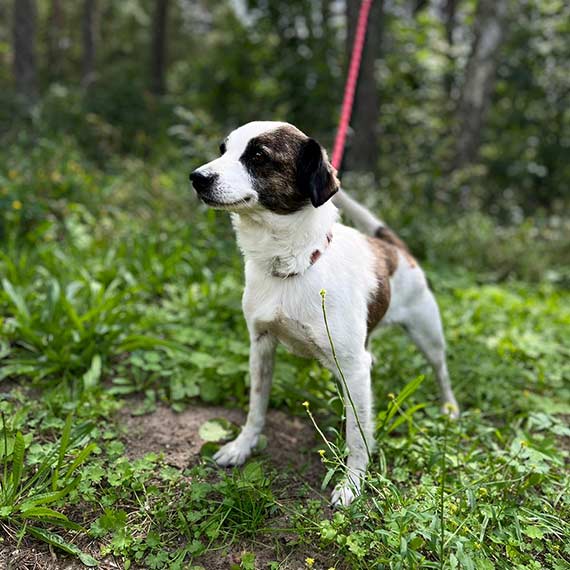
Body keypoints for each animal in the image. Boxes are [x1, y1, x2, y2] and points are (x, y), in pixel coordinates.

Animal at [190, 121, 459, 507]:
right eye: (223, 150)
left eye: (258, 156)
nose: (197, 177)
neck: (292, 263)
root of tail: (393, 247)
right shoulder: (261, 345)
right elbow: (256, 407)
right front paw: (242, 446)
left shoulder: (354, 366)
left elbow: (358, 435)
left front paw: (352, 483)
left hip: (427, 334)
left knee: (440, 371)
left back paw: (450, 408)